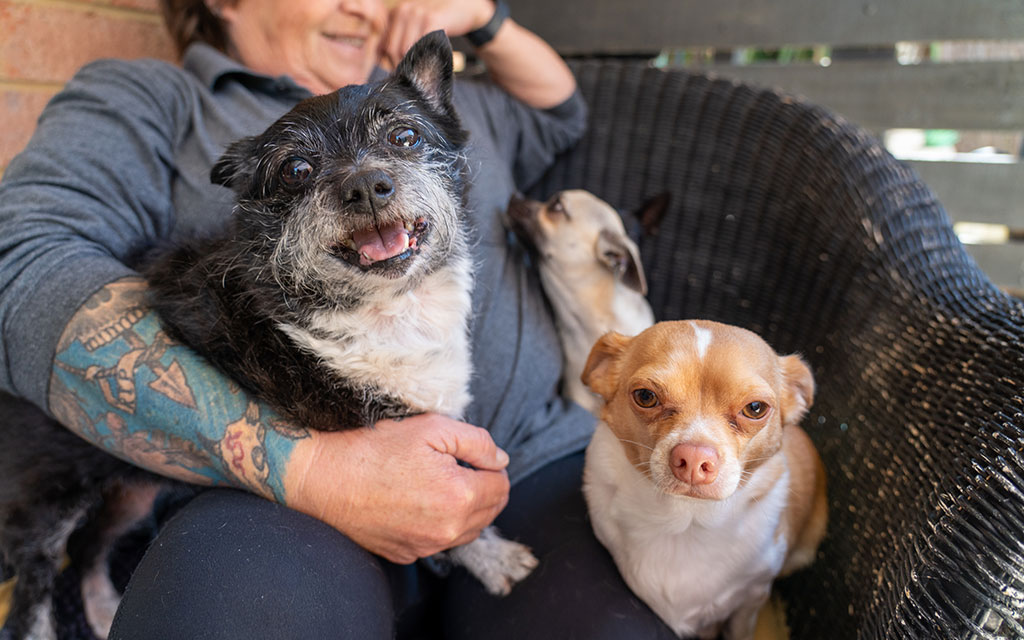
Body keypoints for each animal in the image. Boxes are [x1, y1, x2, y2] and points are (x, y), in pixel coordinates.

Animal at [2, 31, 536, 638]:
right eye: (296, 169)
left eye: (405, 136)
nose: (366, 187)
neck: (385, 309)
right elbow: (457, 516)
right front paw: (491, 558)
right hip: (52, 490)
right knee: (35, 582)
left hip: (132, 480)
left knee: (92, 547)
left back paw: (98, 605)